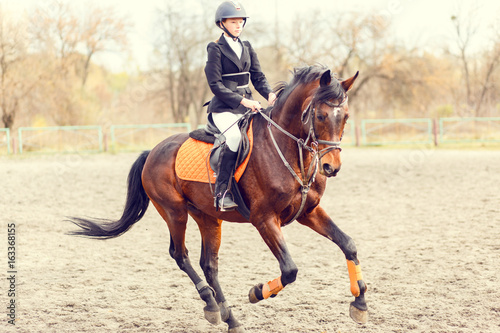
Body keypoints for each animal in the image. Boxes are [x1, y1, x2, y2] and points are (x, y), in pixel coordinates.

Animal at [68, 64, 368, 330]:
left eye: (346, 116)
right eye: (320, 116)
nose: (331, 167)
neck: (292, 153)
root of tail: (152, 151)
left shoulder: (308, 211)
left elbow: (348, 244)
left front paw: (360, 303)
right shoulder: (264, 219)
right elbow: (290, 270)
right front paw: (257, 292)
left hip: (207, 217)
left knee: (208, 264)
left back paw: (228, 317)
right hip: (174, 212)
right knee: (180, 255)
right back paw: (212, 306)